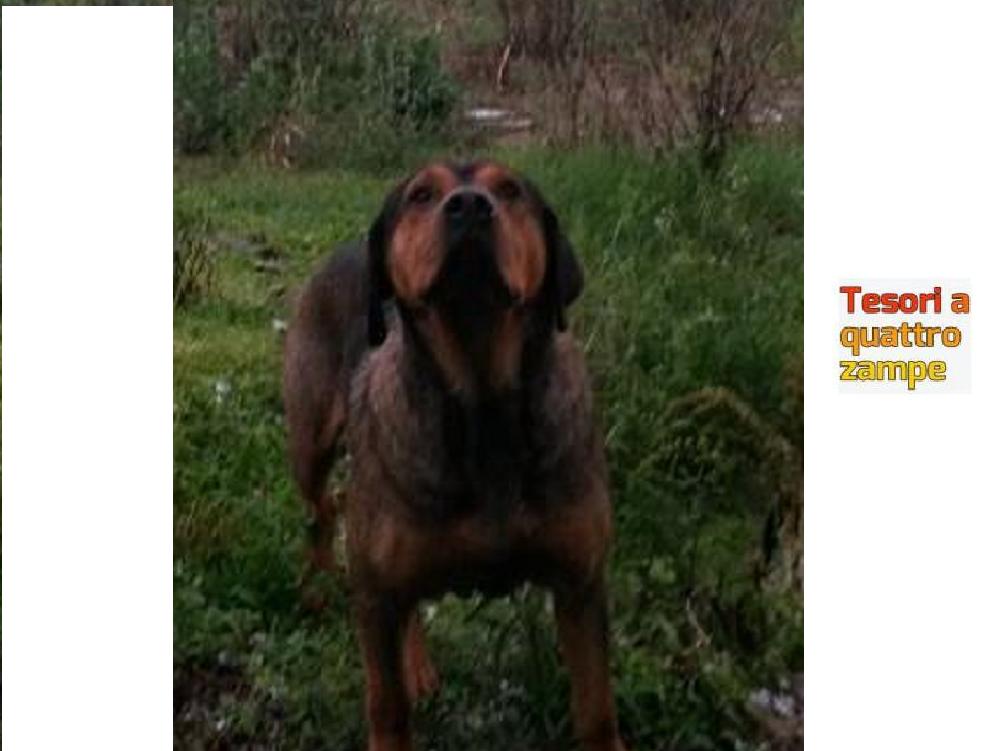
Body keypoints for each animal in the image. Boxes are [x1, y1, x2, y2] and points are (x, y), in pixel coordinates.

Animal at [282, 161, 627, 751]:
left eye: (510, 189)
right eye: (421, 194)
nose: (469, 206)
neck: (483, 401)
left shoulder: (580, 580)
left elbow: (597, 709)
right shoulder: (375, 594)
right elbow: (387, 705)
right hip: (310, 443)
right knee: (323, 510)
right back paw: (320, 577)